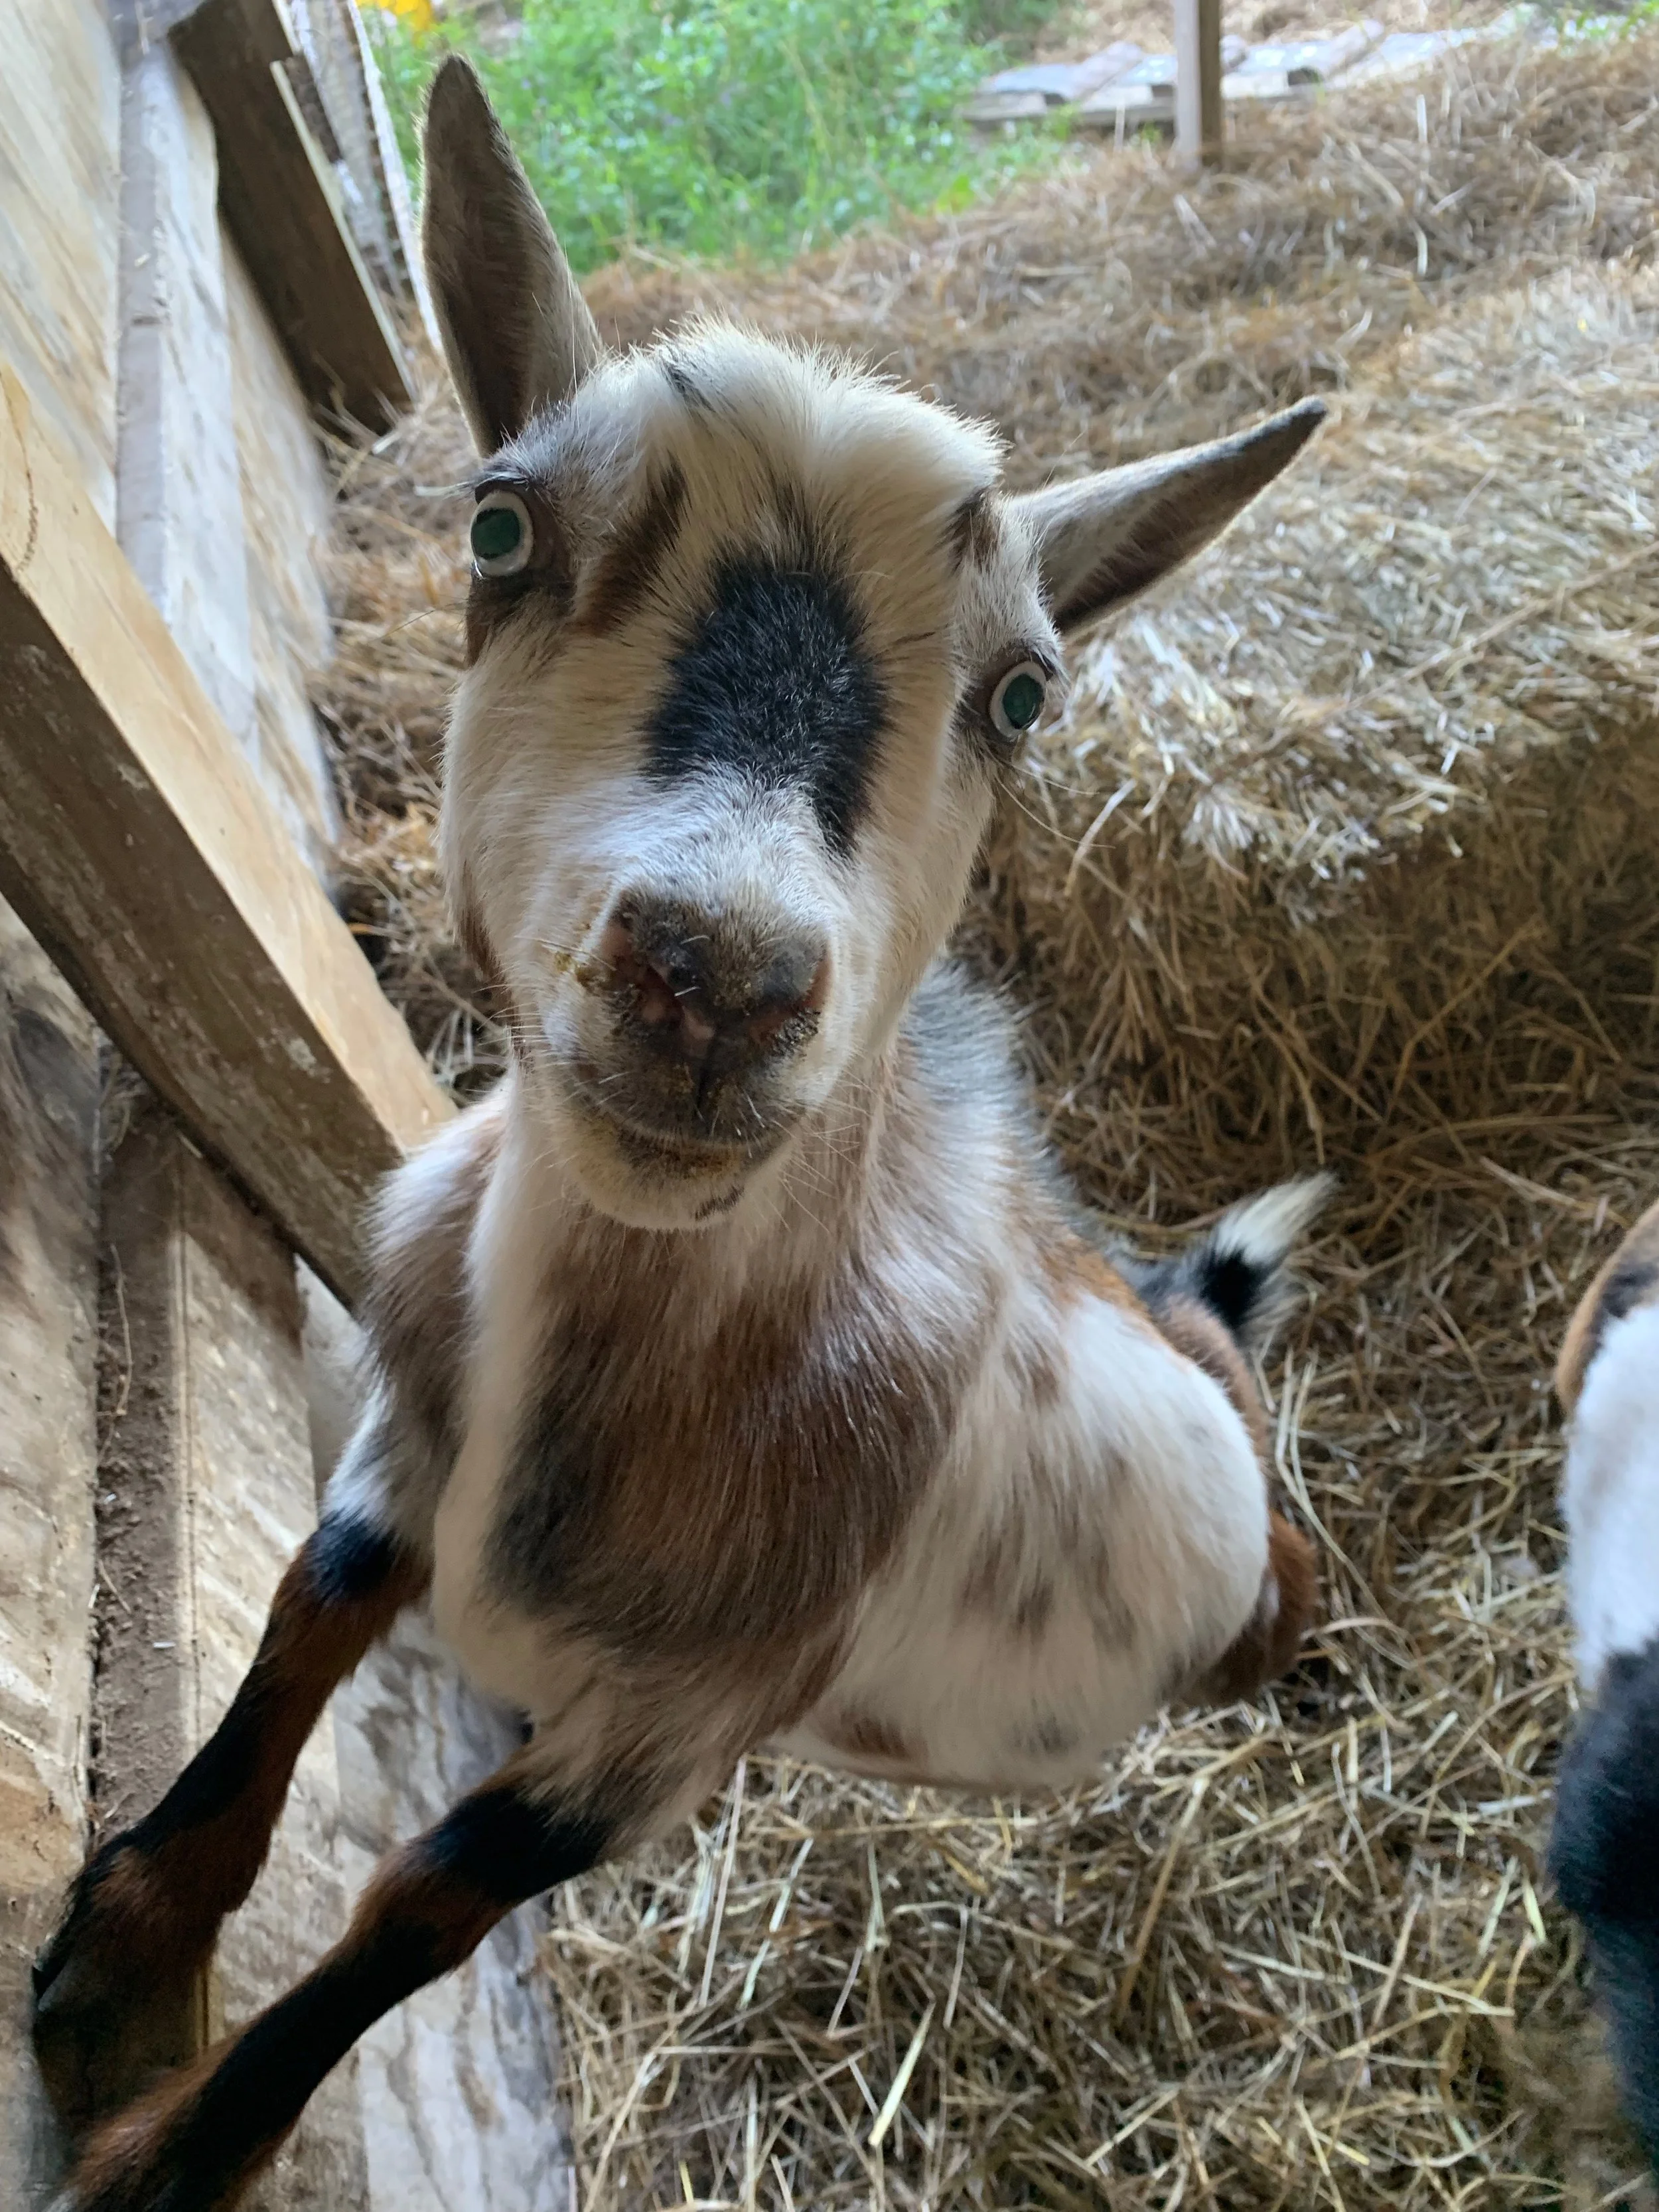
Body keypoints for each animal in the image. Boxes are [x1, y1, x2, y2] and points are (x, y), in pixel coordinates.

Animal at [33, 57, 1330, 2210]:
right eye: (497, 523)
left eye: (1024, 695)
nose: (713, 982)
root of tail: (1177, 1309)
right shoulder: (403, 1429)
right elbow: (306, 1608)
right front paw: (123, 1935)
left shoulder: (677, 1724)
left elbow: (421, 1902)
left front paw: (165, 2148)